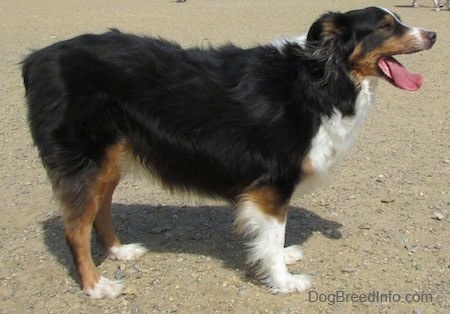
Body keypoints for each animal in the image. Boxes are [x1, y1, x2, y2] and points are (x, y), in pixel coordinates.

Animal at [22, 6, 436, 298]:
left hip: (109, 160)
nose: (432, 34)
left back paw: (119, 251)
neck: (322, 78)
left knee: (101, 210)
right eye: (386, 26)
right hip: (87, 160)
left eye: (397, 20)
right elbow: (272, 236)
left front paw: (283, 258)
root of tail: (37, 58)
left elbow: (274, 239)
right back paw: (97, 287)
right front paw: (284, 280)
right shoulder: (272, 184)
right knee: (75, 229)